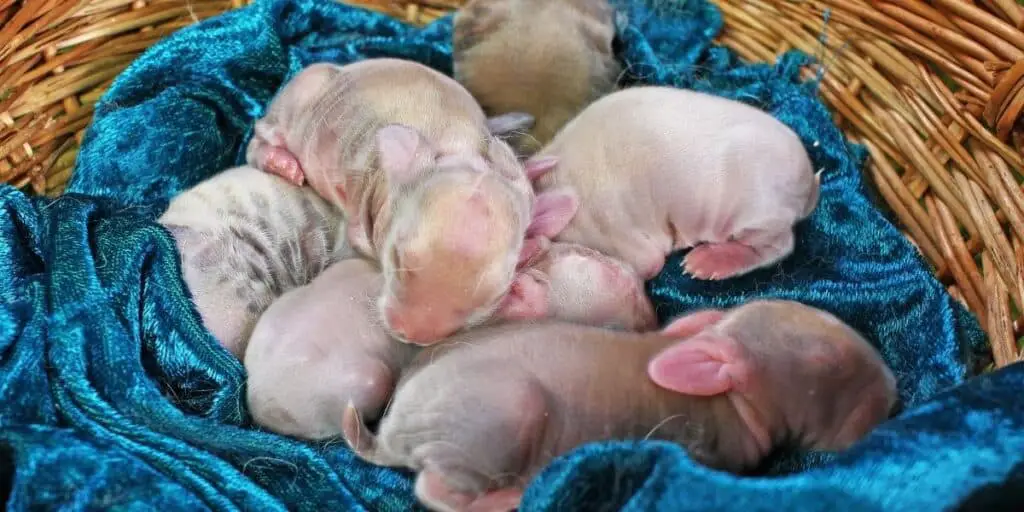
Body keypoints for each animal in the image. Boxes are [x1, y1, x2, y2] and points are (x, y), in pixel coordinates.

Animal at [245, 58, 577, 346]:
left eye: (493, 297)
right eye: (398, 257)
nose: (415, 335)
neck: (459, 146)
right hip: (293, 103)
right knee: (257, 140)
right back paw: (279, 161)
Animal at [342, 299, 897, 512]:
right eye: (827, 361)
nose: (894, 396)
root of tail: (388, 434)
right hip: (497, 420)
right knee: (435, 491)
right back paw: (513, 495)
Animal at [524, 85, 819, 282]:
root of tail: (809, 185)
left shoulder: (606, 225)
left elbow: (646, 260)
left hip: (755, 210)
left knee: (779, 246)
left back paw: (708, 262)